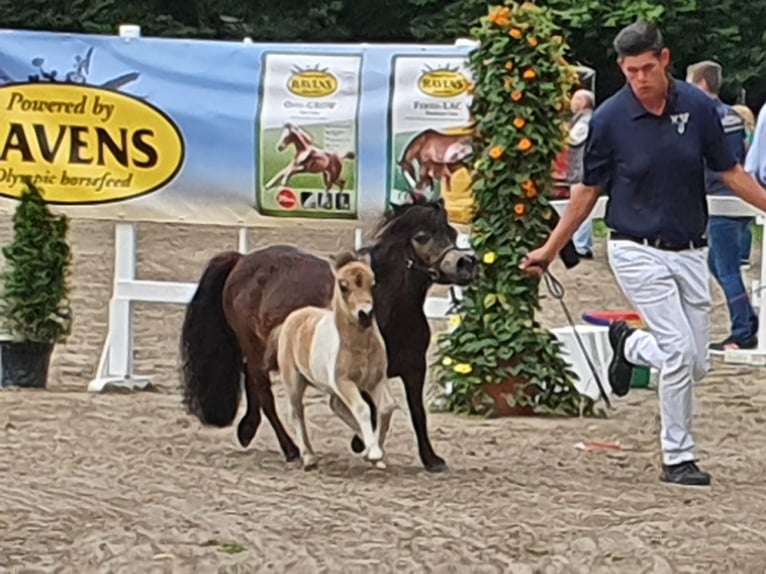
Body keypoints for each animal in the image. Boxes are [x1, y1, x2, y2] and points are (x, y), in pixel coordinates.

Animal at [268, 252, 396, 472]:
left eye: (373, 284)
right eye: (343, 286)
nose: (365, 315)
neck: (360, 347)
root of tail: (291, 318)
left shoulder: (376, 380)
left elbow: (386, 407)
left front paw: (376, 453)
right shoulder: (343, 382)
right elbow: (362, 408)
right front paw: (374, 452)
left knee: (335, 406)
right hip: (294, 381)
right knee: (296, 412)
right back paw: (309, 458)